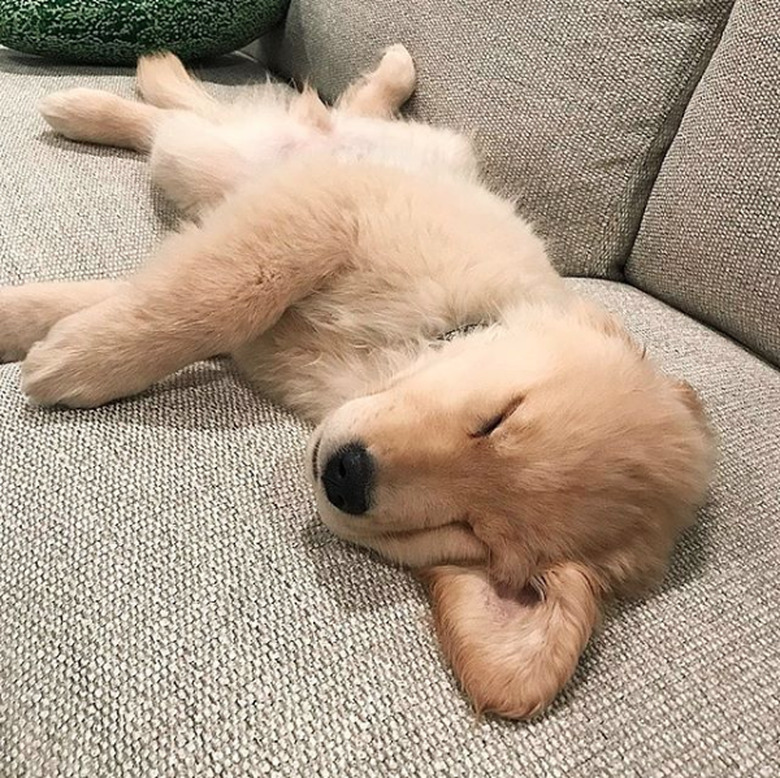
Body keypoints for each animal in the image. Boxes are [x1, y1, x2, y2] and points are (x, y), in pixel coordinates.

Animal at [0, 47, 716, 716]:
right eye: (500, 417)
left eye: (473, 532)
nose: (347, 474)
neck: (387, 355)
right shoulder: (320, 218)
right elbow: (214, 299)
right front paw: (75, 361)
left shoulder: (259, 313)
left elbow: (121, 297)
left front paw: (38, 335)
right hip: (250, 162)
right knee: (200, 118)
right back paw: (105, 96)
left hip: (221, 168)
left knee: (193, 124)